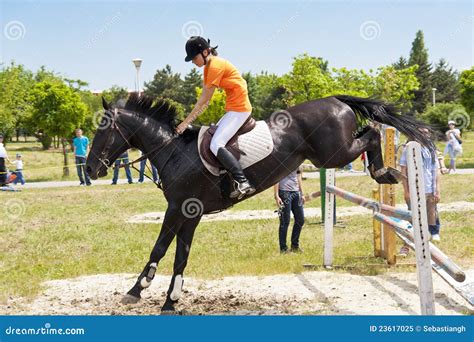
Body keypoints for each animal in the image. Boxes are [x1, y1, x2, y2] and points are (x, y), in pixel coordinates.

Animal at [86, 93, 434, 312]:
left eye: (101, 132)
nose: (90, 170)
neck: (173, 151)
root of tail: (336, 99)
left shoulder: (179, 209)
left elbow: (160, 249)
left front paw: (136, 292)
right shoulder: (188, 213)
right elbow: (179, 256)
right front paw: (170, 300)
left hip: (334, 153)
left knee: (373, 131)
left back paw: (384, 171)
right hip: (332, 153)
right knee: (371, 130)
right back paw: (384, 172)